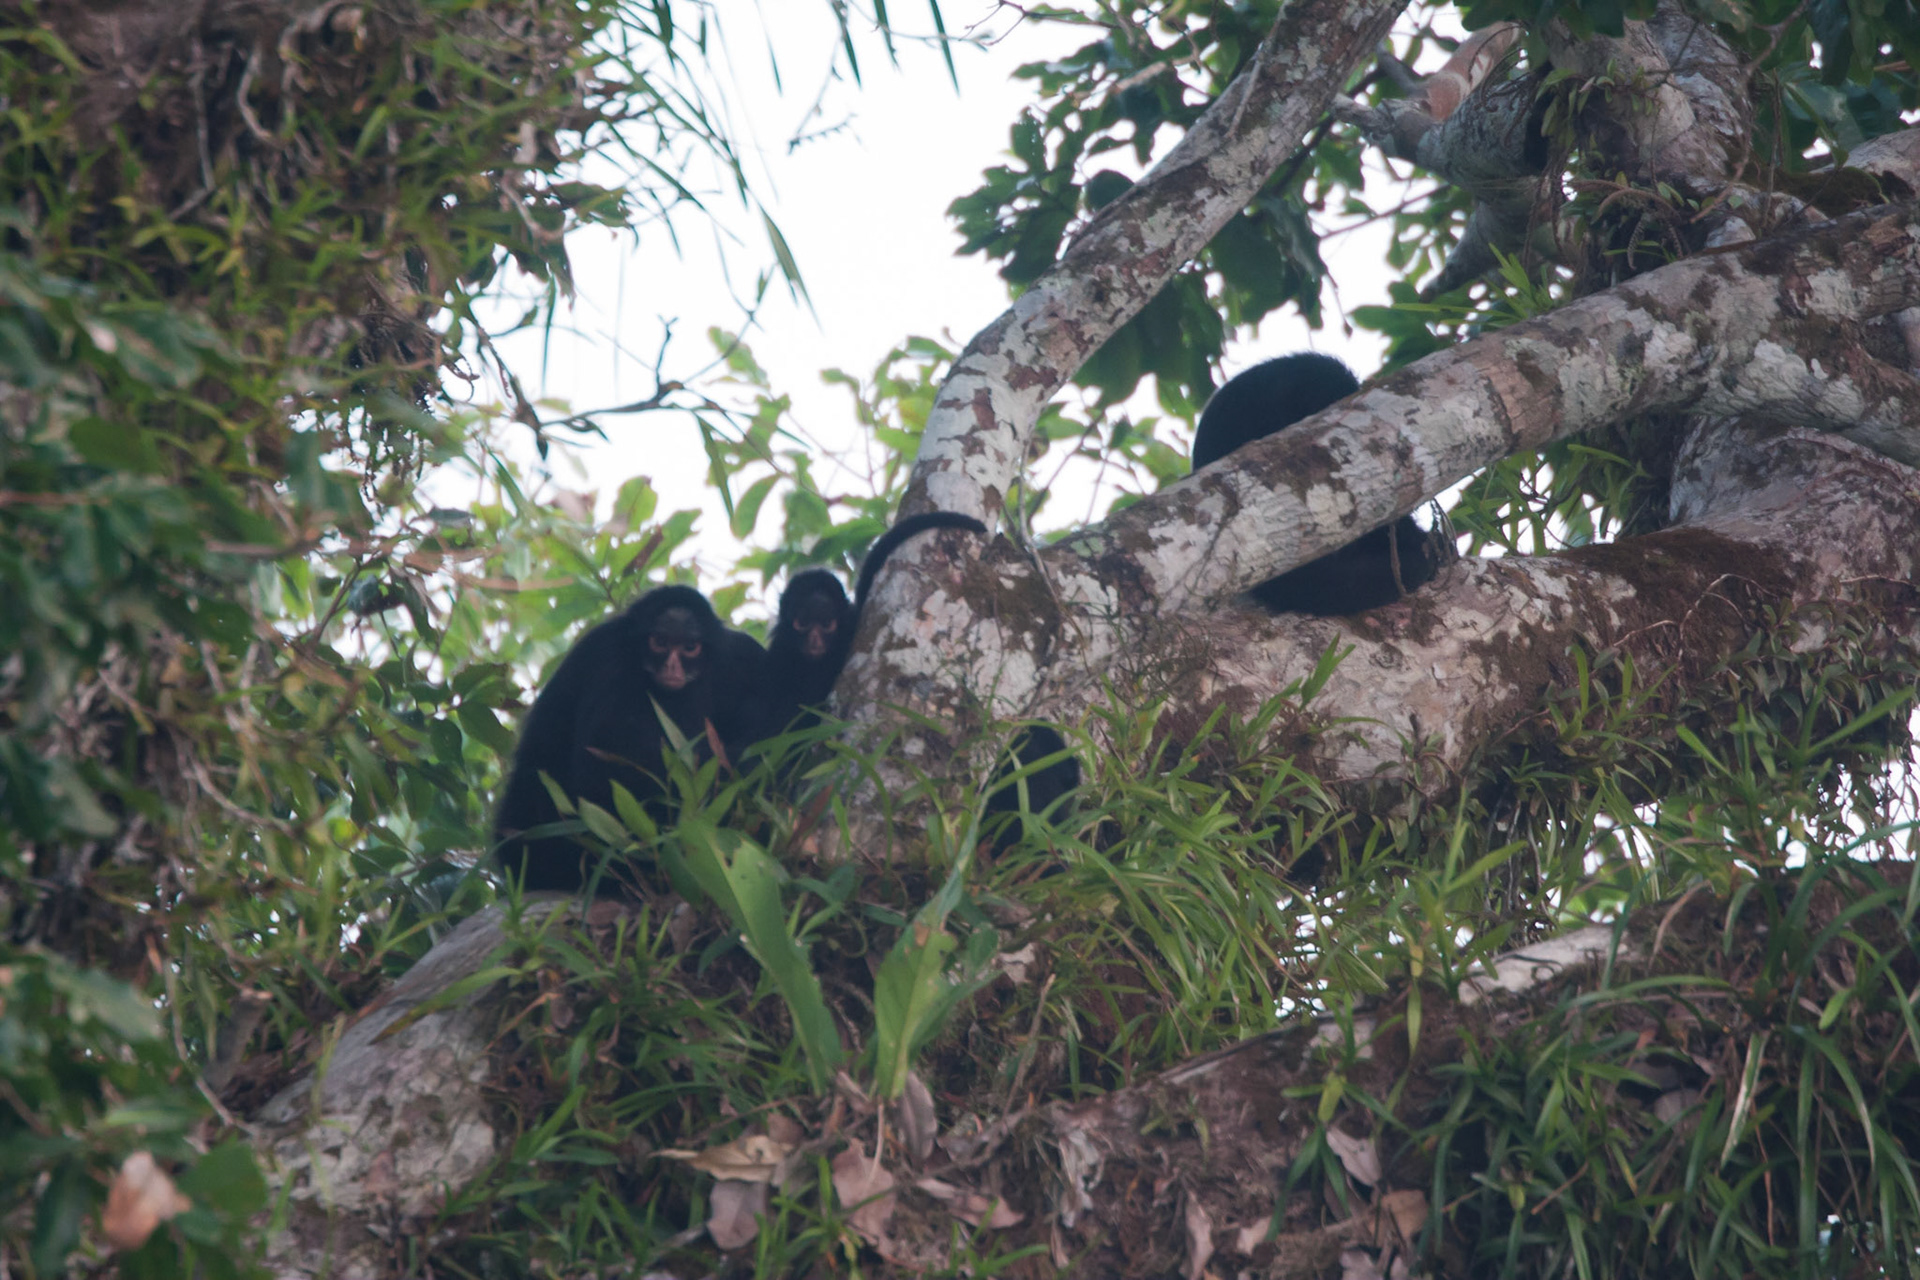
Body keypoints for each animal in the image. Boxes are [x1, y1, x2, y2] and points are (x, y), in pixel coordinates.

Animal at [492, 584, 766, 892]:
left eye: (690, 647)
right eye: (659, 641)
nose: (672, 668)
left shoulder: (742, 653)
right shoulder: (609, 658)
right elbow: (600, 770)